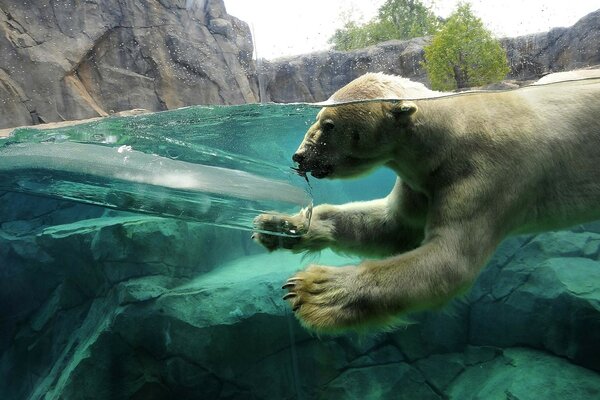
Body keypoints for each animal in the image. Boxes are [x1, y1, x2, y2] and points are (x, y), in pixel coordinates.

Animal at [252, 71, 600, 332]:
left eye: (328, 125)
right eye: (320, 117)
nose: (299, 156)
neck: (448, 139)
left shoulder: (484, 177)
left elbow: (449, 260)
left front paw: (314, 290)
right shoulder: (420, 182)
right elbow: (391, 225)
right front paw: (278, 225)